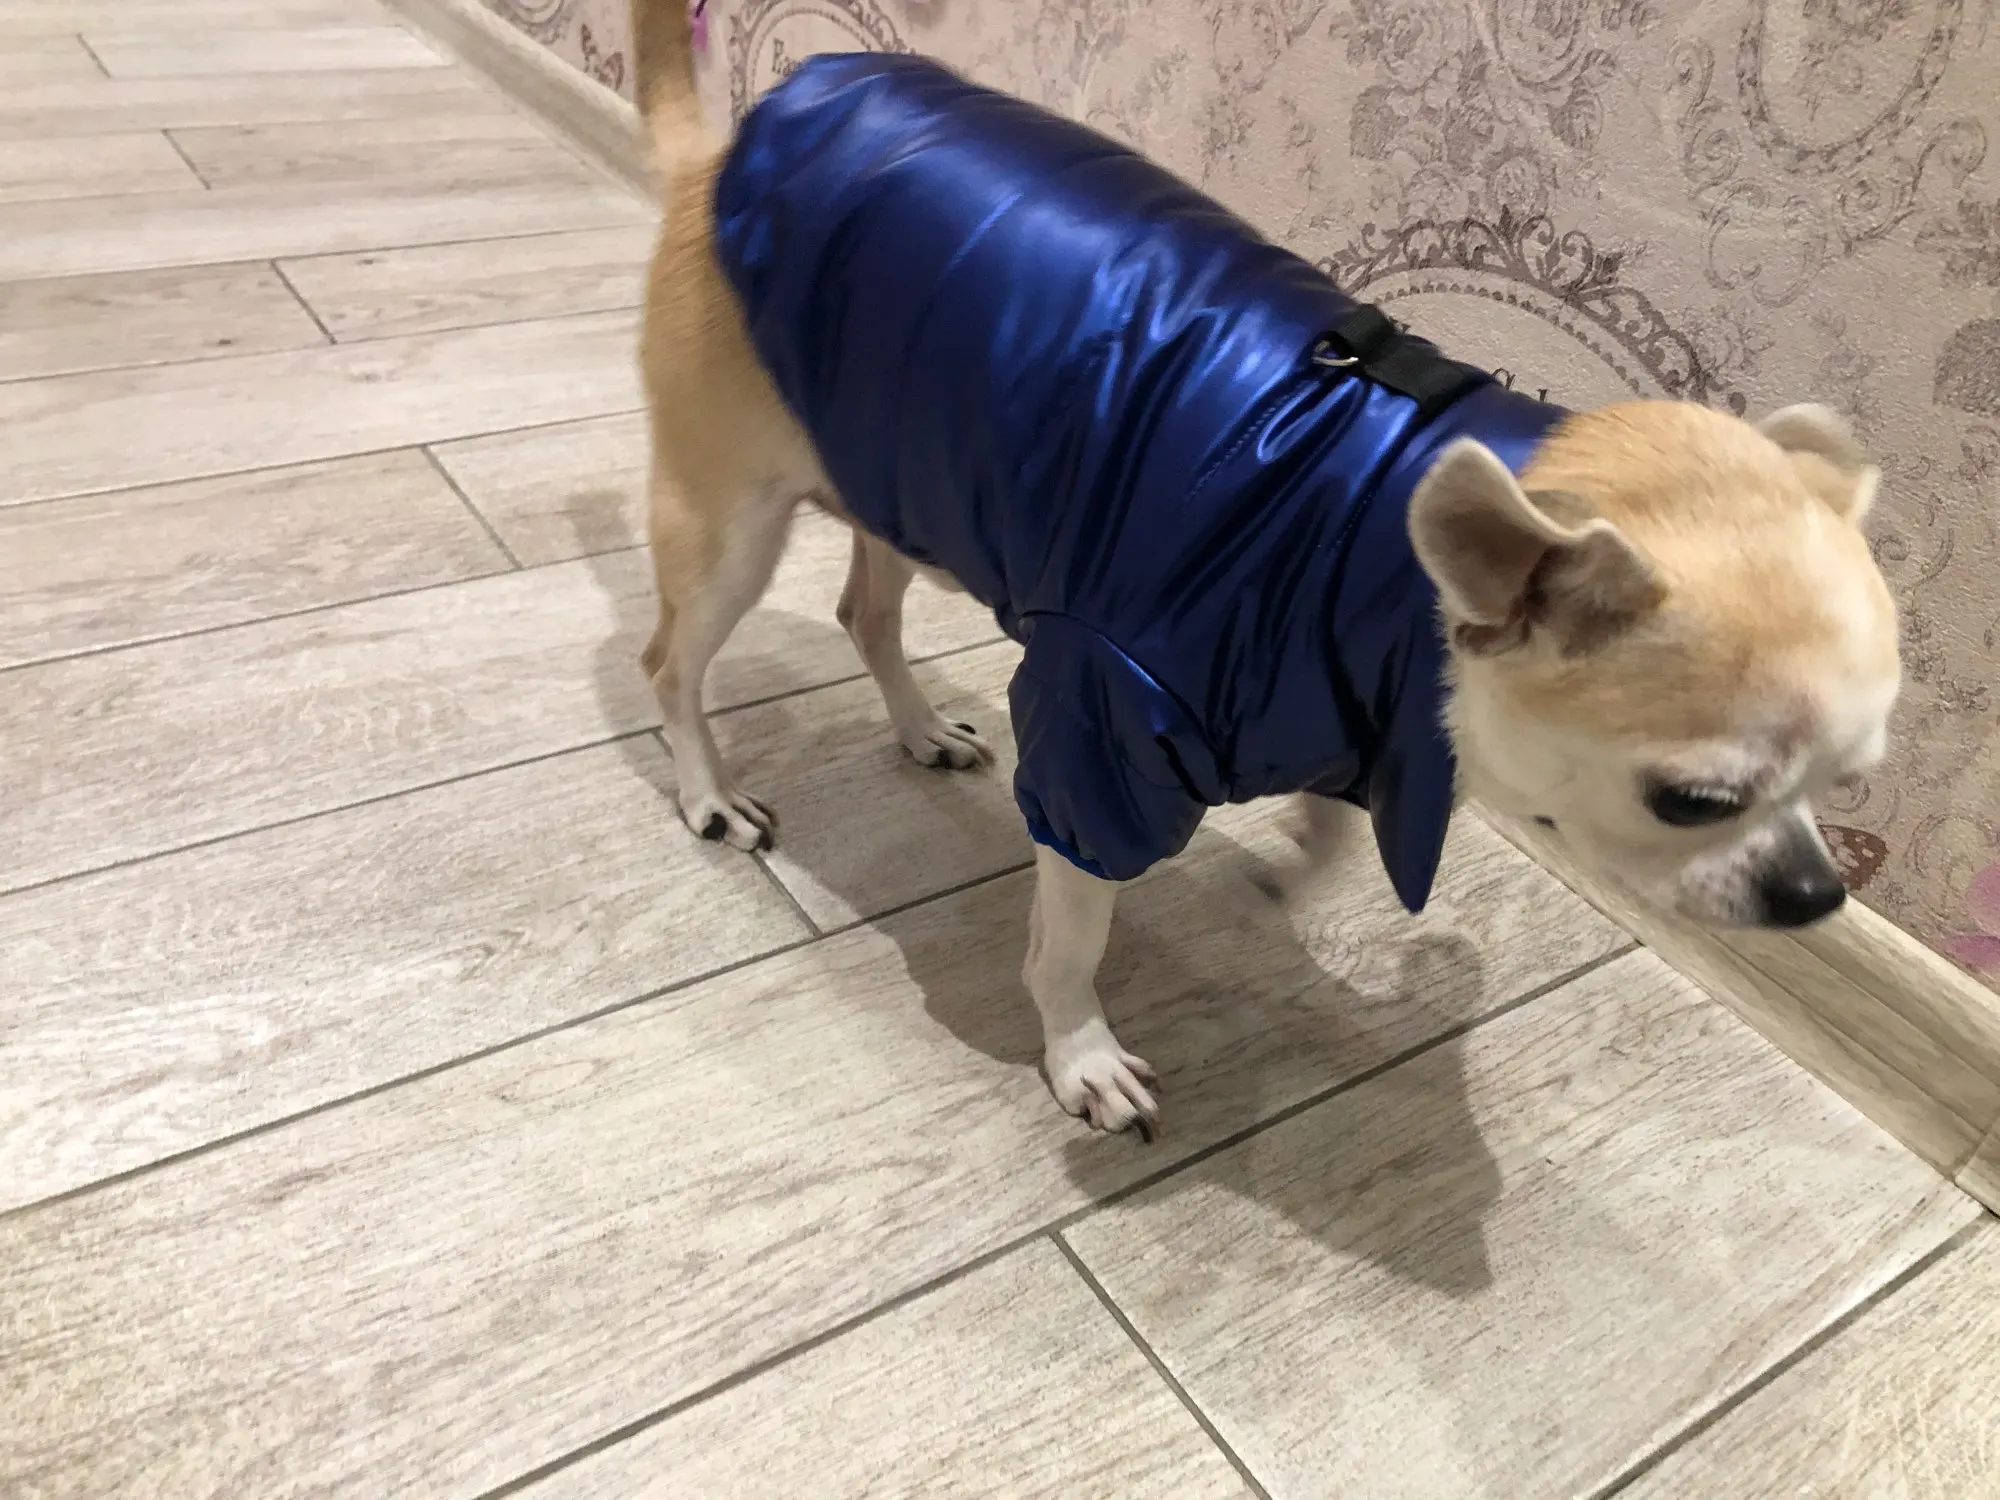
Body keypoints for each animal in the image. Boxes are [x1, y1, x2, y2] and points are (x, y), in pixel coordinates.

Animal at [628, 3, 1900, 1139]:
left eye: (1843, 782)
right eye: (1691, 802)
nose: (1816, 893)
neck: (1375, 529)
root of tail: (718, 158)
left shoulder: (1338, 714)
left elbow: (1332, 836)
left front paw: (1286, 874)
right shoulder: (1100, 733)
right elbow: (1072, 932)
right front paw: (1077, 1050)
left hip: (894, 466)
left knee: (864, 612)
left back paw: (916, 727)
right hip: (732, 525)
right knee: (670, 663)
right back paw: (705, 791)